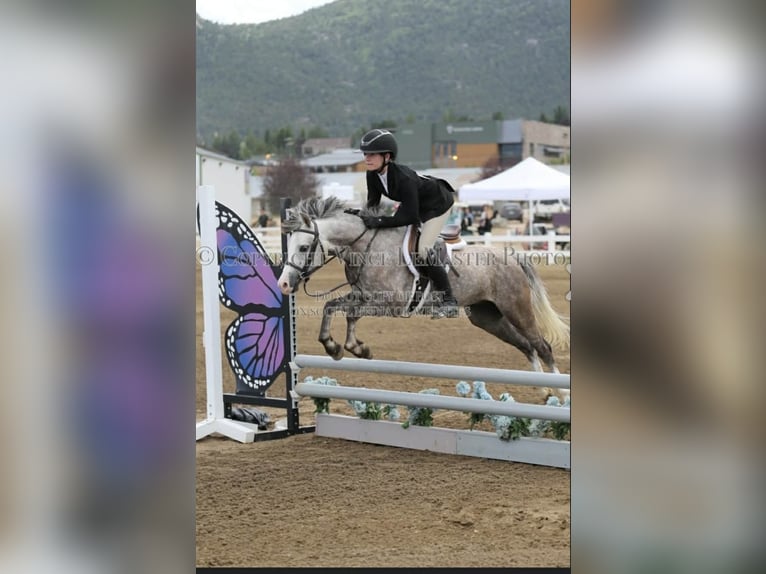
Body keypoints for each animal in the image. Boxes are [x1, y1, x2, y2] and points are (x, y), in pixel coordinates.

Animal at [277, 196, 570, 379]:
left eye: (303, 247)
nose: (283, 284)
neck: (365, 247)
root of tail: (512, 256)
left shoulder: (390, 305)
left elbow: (350, 314)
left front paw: (355, 348)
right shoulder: (362, 296)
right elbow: (332, 307)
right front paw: (336, 347)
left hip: (516, 308)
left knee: (542, 345)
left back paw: (558, 396)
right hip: (487, 317)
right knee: (527, 346)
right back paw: (544, 392)